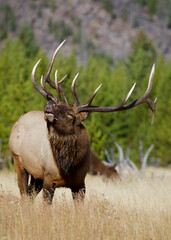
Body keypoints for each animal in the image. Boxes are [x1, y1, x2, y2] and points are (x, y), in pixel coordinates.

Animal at [9, 40, 156, 203]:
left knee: (29, 194)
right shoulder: (48, 178)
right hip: (18, 160)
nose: (49, 106)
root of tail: (18, 121)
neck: (69, 168)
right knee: (24, 194)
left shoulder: (80, 184)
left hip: (36, 176)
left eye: (70, 114)